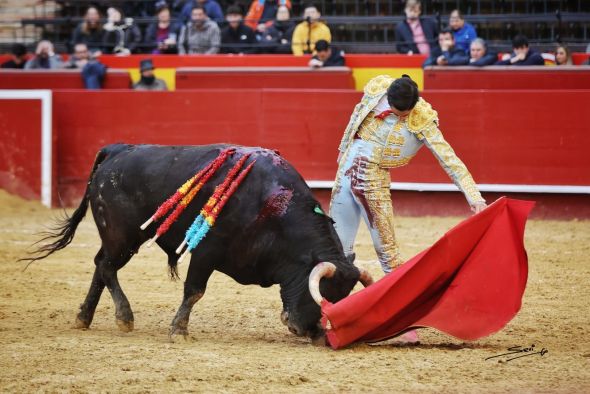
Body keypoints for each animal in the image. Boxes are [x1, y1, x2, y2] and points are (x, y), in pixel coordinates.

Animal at [27, 144, 374, 342]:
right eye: (322, 292)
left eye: (341, 298)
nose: (313, 333)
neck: (273, 210)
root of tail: (117, 150)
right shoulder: (206, 252)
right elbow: (194, 291)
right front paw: (178, 331)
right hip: (122, 235)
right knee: (107, 267)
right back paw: (124, 318)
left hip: (118, 237)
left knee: (101, 266)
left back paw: (83, 318)